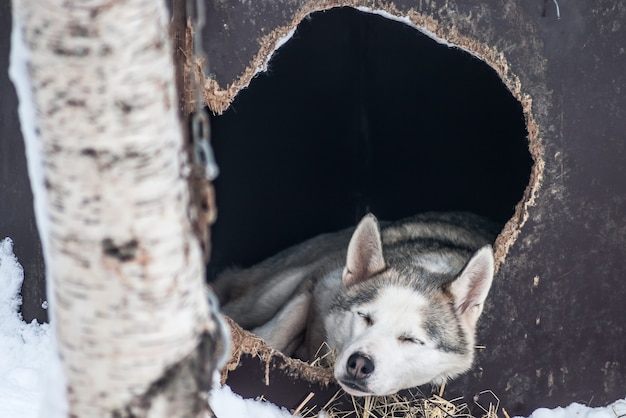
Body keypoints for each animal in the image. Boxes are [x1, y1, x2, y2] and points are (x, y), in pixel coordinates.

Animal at [214, 212, 498, 396]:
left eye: (411, 339)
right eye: (365, 316)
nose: (360, 364)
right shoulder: (319, 280)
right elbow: (277, 330)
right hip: (269, 292)